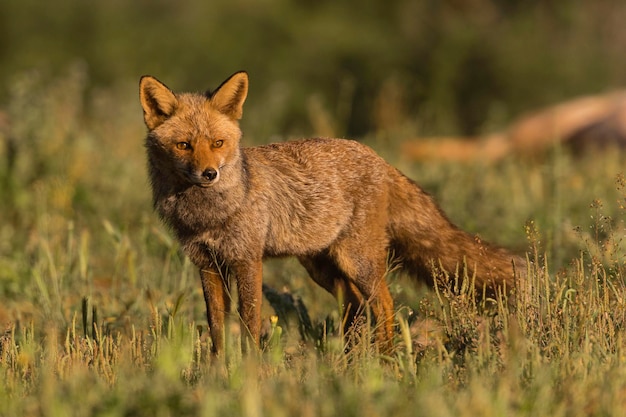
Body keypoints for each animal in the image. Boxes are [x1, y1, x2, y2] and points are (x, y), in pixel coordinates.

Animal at [140, 71, 520, 354]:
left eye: (218, 143)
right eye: (184, 145)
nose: (209, 174)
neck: (208, 214)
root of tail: (378, 157)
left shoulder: (246, 260)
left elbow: (249, 324)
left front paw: (251, 373)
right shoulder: (207, 265)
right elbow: (217, 328)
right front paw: (220, 373)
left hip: (357, 261)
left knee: (385, 304)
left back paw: (385, 360)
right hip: (322, 267)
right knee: (354, 306)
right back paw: (350, 362)